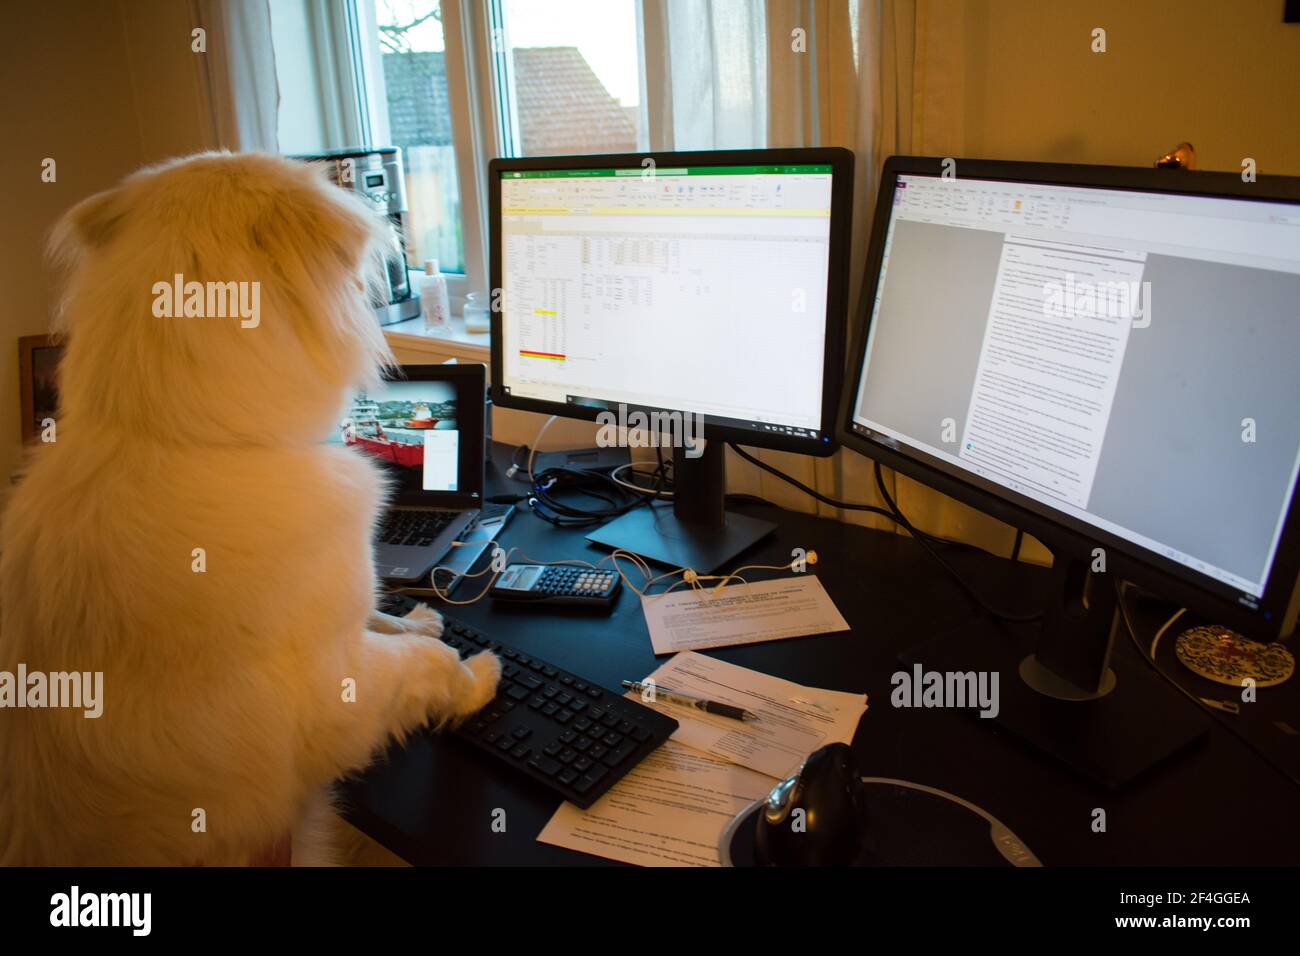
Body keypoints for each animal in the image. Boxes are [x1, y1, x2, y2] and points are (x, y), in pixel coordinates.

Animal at [1, 151, 501, 868]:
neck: (186, 433)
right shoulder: (334, 691)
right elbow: (423, 666)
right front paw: (477, 675)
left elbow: (381, 617)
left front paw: (420, 620)